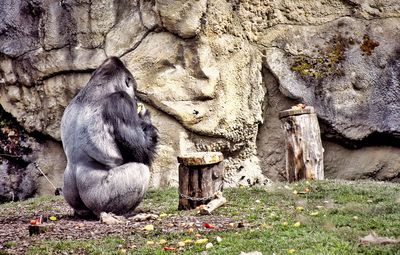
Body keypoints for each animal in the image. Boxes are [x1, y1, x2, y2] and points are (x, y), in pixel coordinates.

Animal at [61, 56, 158, 218]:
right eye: (133, 90)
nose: (136, 98)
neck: (98, 86)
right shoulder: (121, 100)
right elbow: (141, 151)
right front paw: (145, 118)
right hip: (100, 199)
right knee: (140, 170)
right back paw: (124, 213)